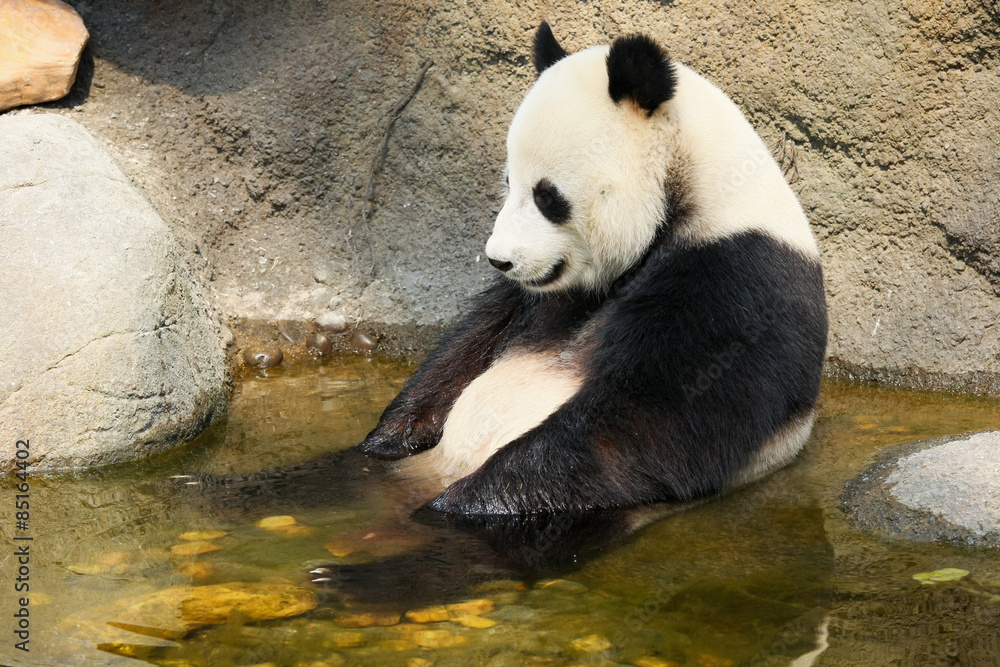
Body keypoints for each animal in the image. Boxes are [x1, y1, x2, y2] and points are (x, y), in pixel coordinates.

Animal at [359, 23, 828, 515]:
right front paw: (390, 435)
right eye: (509, 183)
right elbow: (467, 346)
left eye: (547, 196)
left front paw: (465, 502)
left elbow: (649, 426)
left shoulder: (737, 282)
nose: (499, 259)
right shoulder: (530, 299)